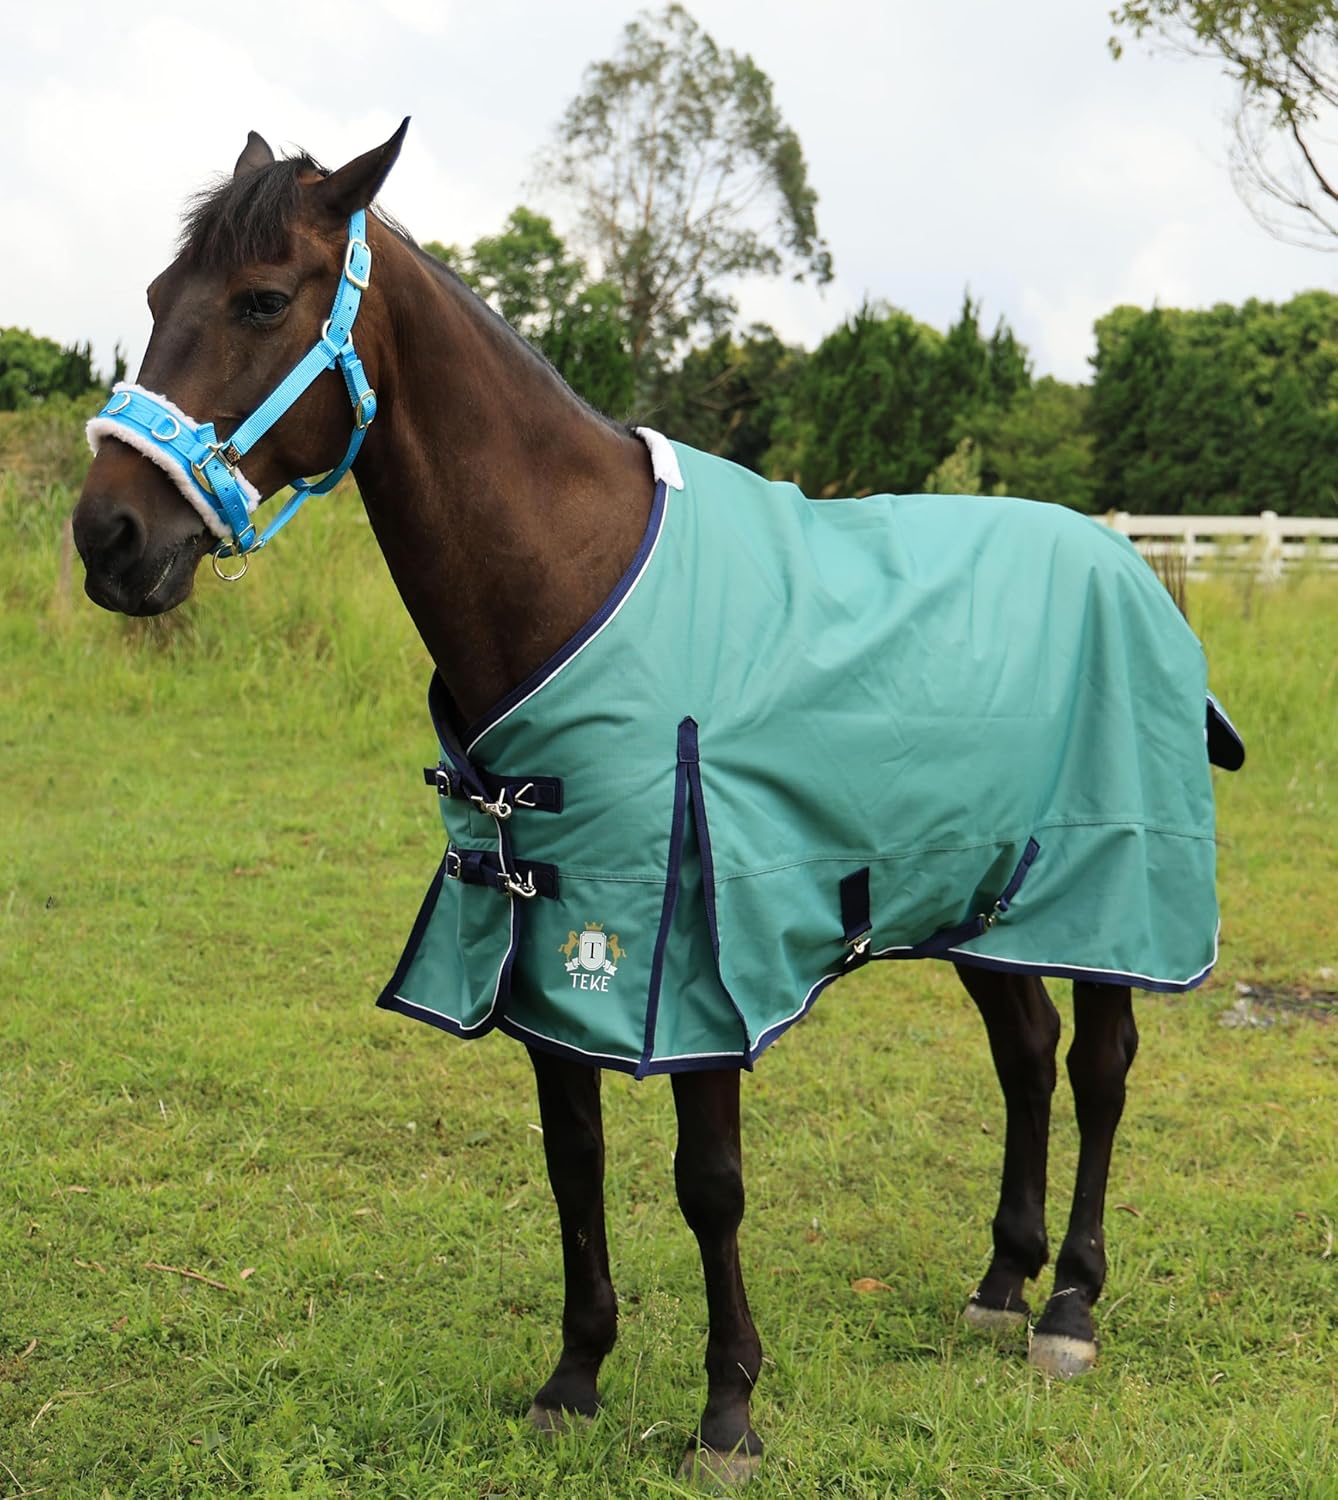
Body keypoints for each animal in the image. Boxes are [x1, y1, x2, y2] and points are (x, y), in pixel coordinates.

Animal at [72, 122, 1242, 1486]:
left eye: (262, 300)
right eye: (161, 295)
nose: (108, 537)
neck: (570, 576)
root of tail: (1134, 564)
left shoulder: (691, 960)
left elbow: (708, 1182)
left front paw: (727, 1411)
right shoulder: (544, 940)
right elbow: (572, 1166)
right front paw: (573, 1379)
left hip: (1112, 893)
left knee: (1100, 1064)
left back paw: (1069, 1310)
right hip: (979, 894)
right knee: (1027, 1053)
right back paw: (1003, 1283)